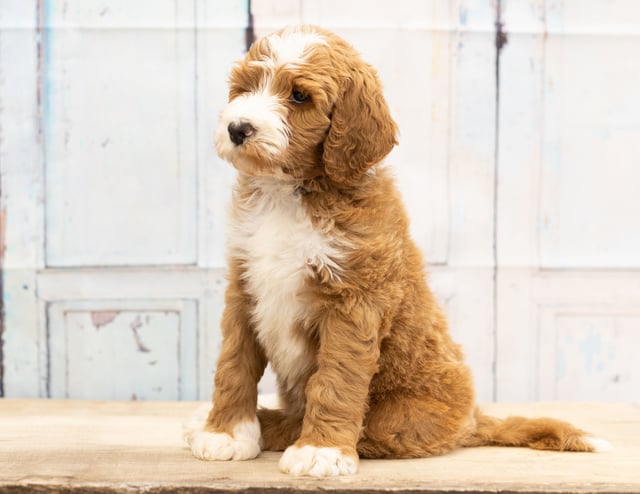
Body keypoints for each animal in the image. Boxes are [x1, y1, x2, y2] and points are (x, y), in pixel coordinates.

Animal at [185, 25, 608, 476]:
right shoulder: (245, 286)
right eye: (244, 87)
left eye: (299, 96)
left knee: (361, 428)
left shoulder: (355, 300)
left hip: (402, 415)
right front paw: (226, 433)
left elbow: (335, 380)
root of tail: (474, 419)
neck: (291, 192)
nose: (238, 128)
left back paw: (279, 428)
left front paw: (321, 450)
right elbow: (234, 363)